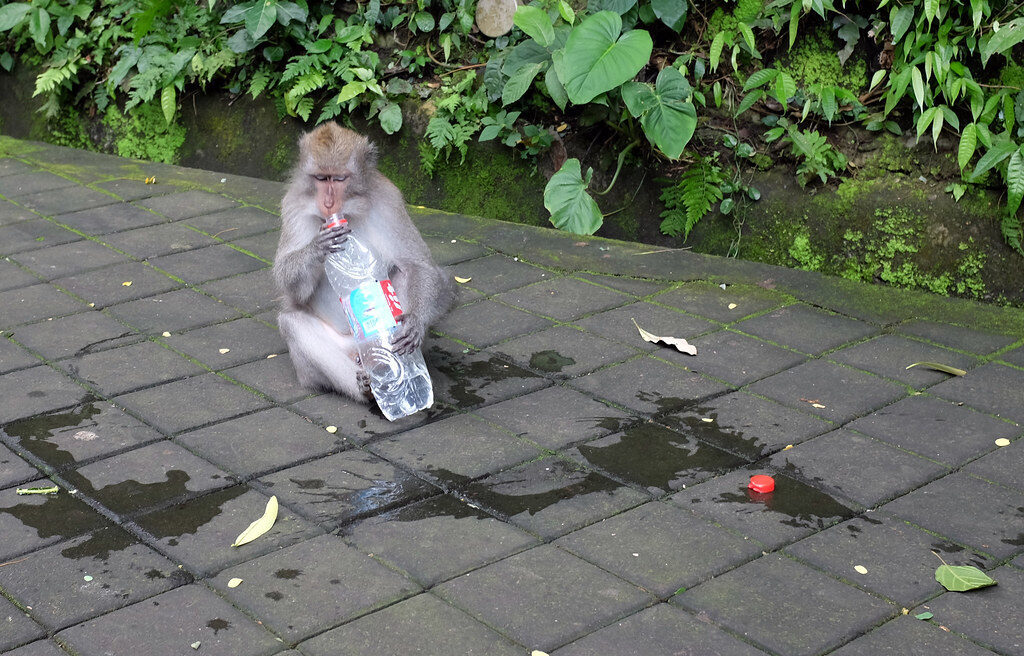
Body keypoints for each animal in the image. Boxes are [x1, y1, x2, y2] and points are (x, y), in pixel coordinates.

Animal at [273, 123, 456, 402]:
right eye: (320, 178)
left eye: (339, 179)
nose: (328, 203)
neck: (349, 213)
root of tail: (358, 350)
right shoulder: (293, 205)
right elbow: (288, 282)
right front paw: (318, 247)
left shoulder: (388, 198)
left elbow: (417, 264)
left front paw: (414, 323)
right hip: (317, 366)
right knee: (292, 323)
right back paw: (366, 387)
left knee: (412, 275)